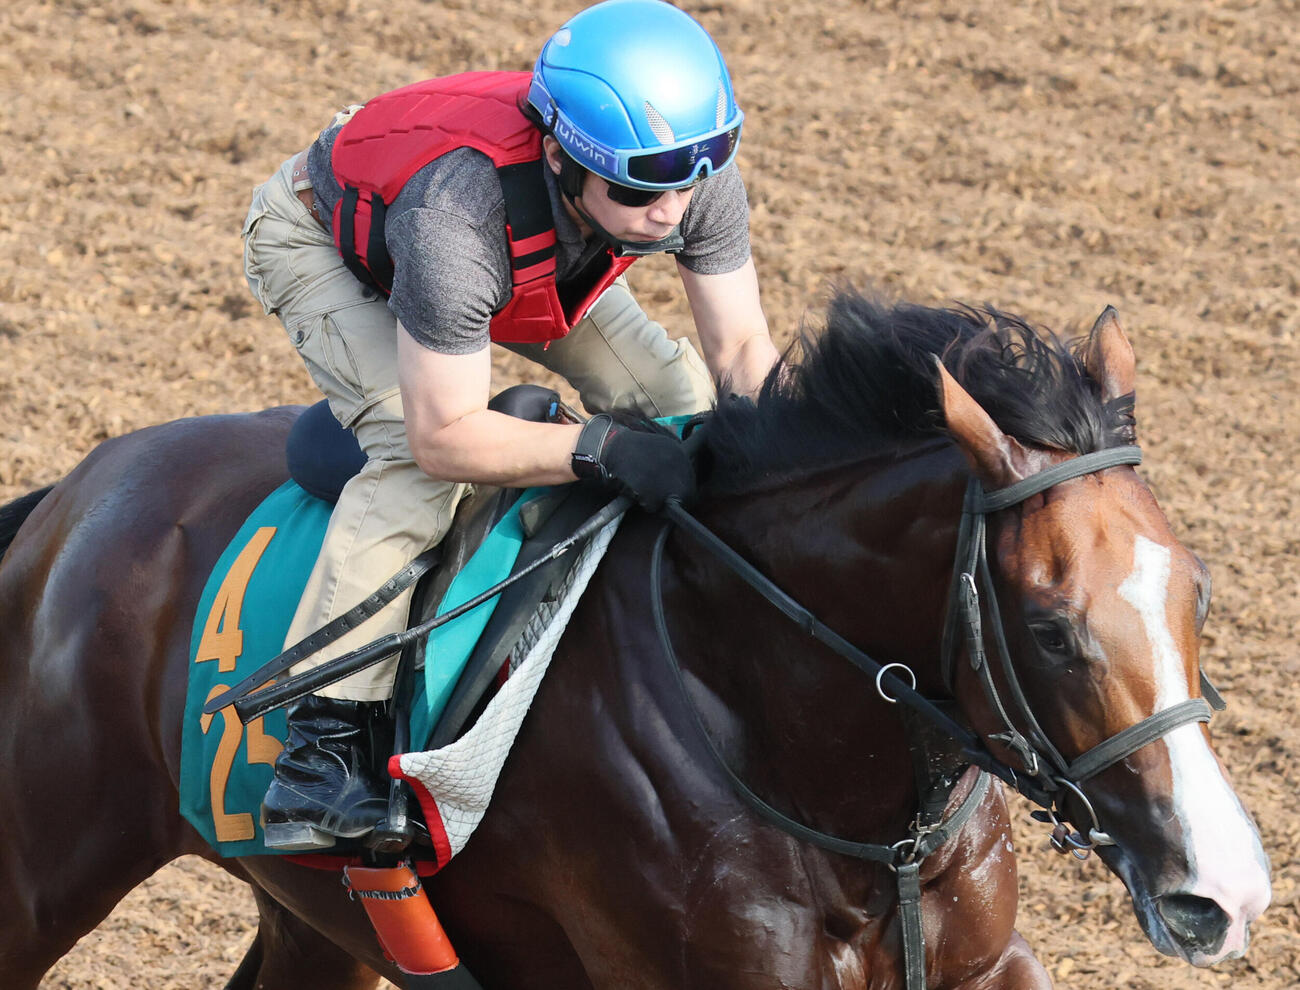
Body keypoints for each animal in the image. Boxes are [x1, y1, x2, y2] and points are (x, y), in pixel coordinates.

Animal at [0, 291, 1270, 989]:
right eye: (1051, 629)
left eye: (1201, 593)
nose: (1228, 891)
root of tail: (77, 491)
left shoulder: (988, 963)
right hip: (45, 866)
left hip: (327, 922)